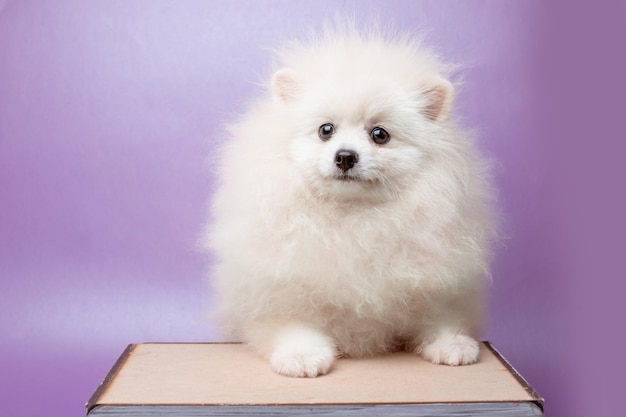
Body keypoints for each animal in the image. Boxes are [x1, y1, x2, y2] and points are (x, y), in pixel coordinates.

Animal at [207, 27, 494, 376]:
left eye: (379, 134)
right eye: (325, 130)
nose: (345, 156)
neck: (354, 219)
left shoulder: (436, 283)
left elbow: (438, 315)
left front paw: (452, 344)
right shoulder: (279, 290)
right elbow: (292, 324)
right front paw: (302, 356)